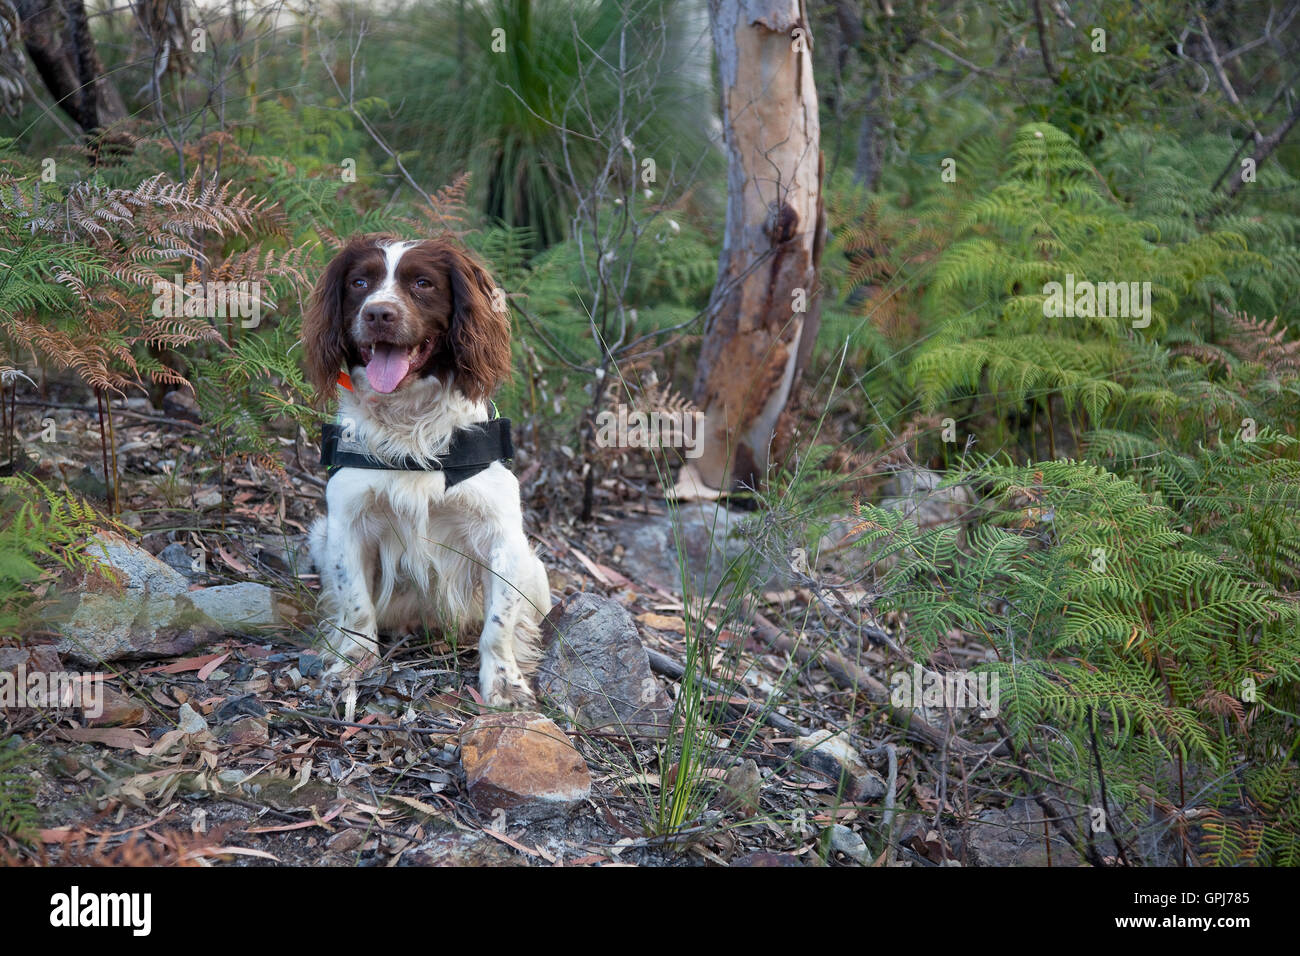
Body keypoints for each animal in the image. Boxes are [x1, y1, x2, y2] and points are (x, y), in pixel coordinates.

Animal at [301, 235, 551, 707]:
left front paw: (504, 683)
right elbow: (357, 605)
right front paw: (351, 664)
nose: (378, 313)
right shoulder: (345, 525)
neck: (409, 429)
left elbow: (499, 623)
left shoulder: (501, 538)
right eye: (360, 282)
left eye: (422, 283)